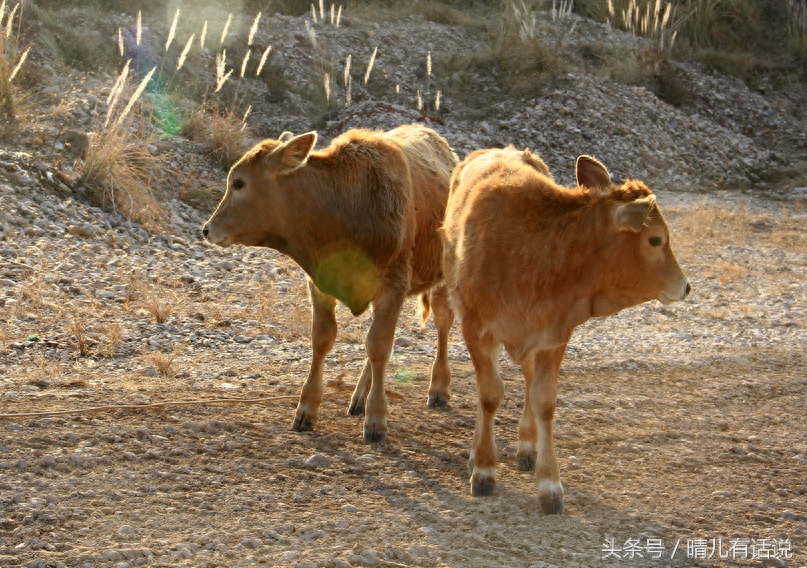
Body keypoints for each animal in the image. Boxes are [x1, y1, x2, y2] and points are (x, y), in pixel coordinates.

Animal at [205, 124, 458, 444]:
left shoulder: (394, 284)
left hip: (442, 276)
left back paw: (438, 388)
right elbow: (324, 339)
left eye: (238, 182)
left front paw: (377, 418)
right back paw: (359, 397)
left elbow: (379, 346)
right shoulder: (320, 285)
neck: (344, 209)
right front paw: (307, 409)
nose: (207, 229)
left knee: (441, 323)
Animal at [446, 148, 692, 516]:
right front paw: (484, 469)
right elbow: (489, 395)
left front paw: (549, 484)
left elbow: (544, 400)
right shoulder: (476, 328)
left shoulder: (554, 334)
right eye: (655, 240)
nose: (686, 286)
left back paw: (527, 446)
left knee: (529, 381)